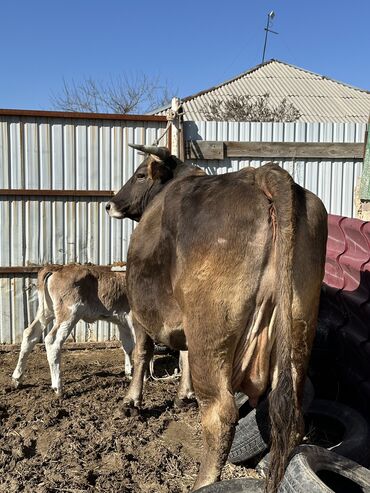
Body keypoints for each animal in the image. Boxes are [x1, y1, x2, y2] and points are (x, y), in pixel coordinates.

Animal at [12, 262, 135, 396]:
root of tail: (58, 267)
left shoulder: (123, 321)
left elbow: (127, 346)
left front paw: (130, 373)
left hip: (46, 310)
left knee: (30, 334)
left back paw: (17, 378)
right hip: (70, 313)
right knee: (52, 341)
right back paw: (58, 387)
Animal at [104, 144, 326, 490]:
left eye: (139, 174)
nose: (110, 204)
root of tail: (263, 173)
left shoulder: (140, 313)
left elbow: (142, 353)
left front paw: (132, 402)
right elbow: (182, 357)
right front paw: (183, 395)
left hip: (210, 330)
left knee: (220, 413)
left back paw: (203, 483)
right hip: (297, 329)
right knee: (289, 417)